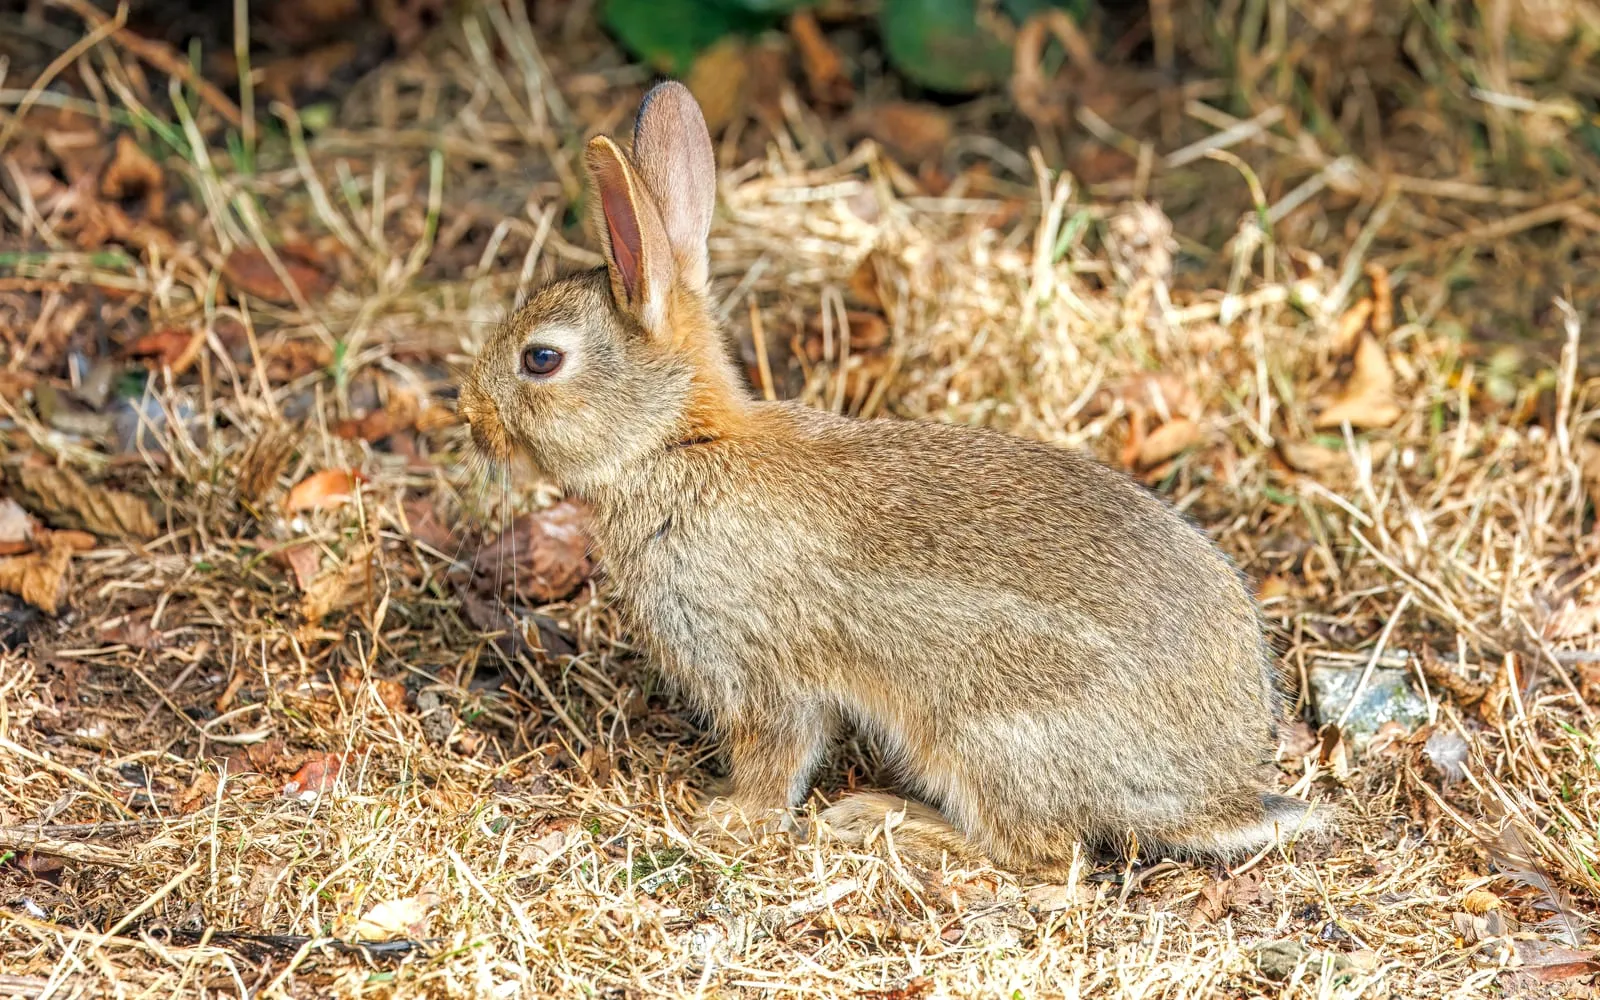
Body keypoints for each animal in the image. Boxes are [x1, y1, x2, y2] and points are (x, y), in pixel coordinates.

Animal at [458, 81, 1320, 878]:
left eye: (541, 359)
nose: (468, 413)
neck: (675, 443)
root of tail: (1213, 794)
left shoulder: (761, 671)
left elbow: (778, 752)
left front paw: (728, 819)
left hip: (983, 734)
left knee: (1042, 855)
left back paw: (882, 820)